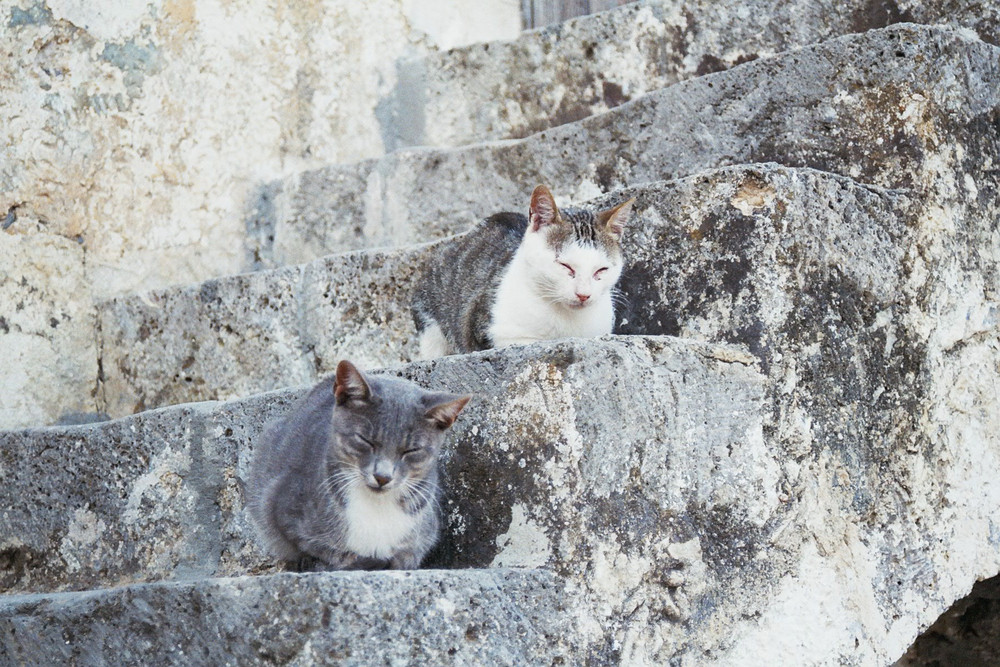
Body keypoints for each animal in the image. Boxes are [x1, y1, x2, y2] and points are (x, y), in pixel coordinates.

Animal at [248, 362, 470, 572]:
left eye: (411, 450)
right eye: (365, 440)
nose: (382, 476)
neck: (377, 509)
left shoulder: (422, 539)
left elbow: (405, 556)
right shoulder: (282, 508)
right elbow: (327, 553)